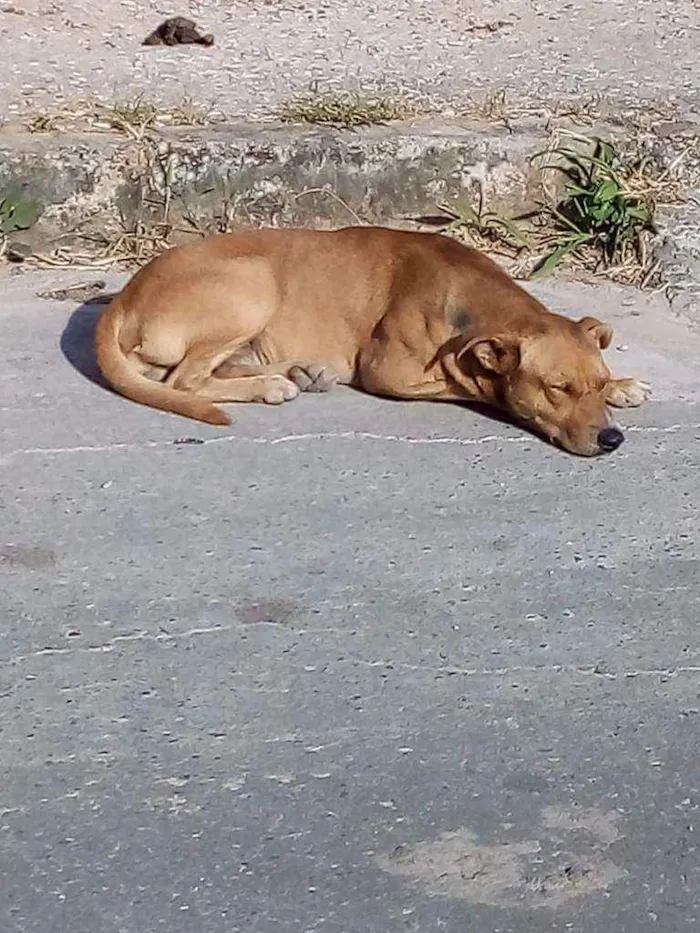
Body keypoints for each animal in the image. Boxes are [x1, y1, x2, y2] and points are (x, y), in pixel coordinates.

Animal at [94, 228, 652, 456]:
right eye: (557, 389)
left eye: (595, 383)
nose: (613, 440)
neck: (471, 295)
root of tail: (125, 297)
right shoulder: (389, 372)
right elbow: (473, 385)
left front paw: (624, 385)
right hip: (254, 285)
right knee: (185, 381)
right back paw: (271, 385)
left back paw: (293, 372)